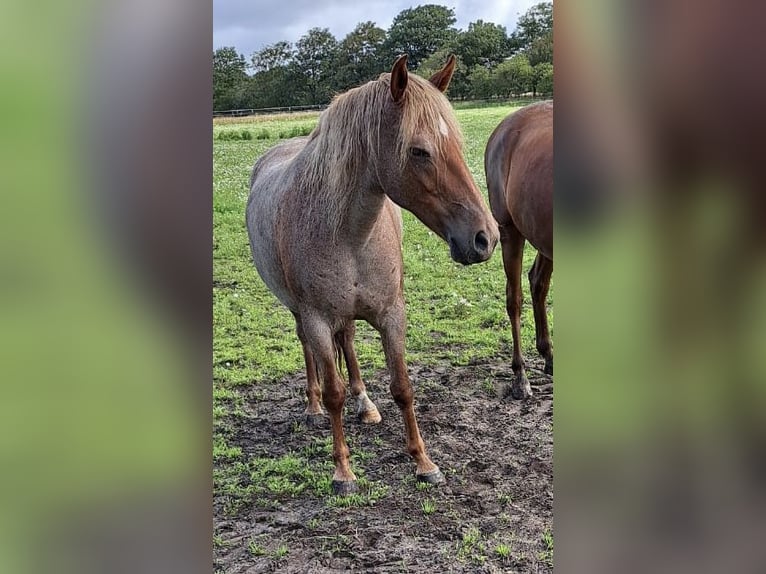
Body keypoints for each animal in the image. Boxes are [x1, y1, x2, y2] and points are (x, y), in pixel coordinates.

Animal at [244, 55, 498, 496]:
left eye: (457, 144)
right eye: (419, 151)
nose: (485, 237)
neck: (349, 234)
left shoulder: (392, 314)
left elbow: (402, 387)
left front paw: (424, 462)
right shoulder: (316, 317)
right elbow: (334, 393)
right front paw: (343, 472)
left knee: (347, 341)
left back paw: (366, 404)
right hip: (298, 312)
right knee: (309, 351)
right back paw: (312, 406)